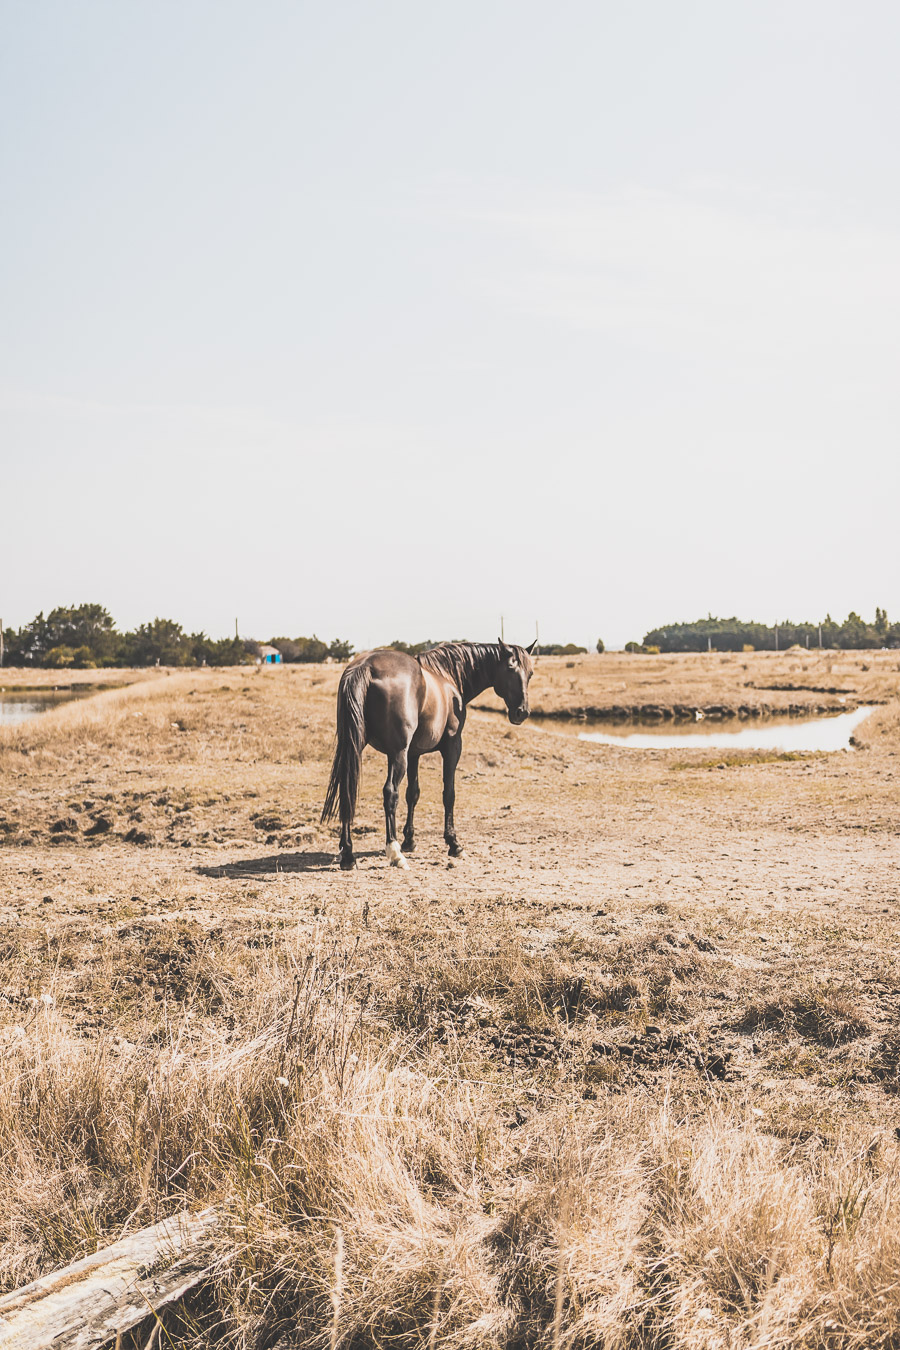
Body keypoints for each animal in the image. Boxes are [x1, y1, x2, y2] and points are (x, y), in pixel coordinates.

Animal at [322, 639, 534, 869]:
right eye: (511, 668)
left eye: (530, 673)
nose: (522, 712)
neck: (448, 677)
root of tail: (366, 666)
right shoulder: (452, 747)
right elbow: (448, 794)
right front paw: (453, 843)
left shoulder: (413, 754)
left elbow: (412, 794)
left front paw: (409, 840)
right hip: (398, 754)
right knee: (390, 793)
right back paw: (394, 852)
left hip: (358, 748)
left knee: (347, 789)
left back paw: (348, 854)